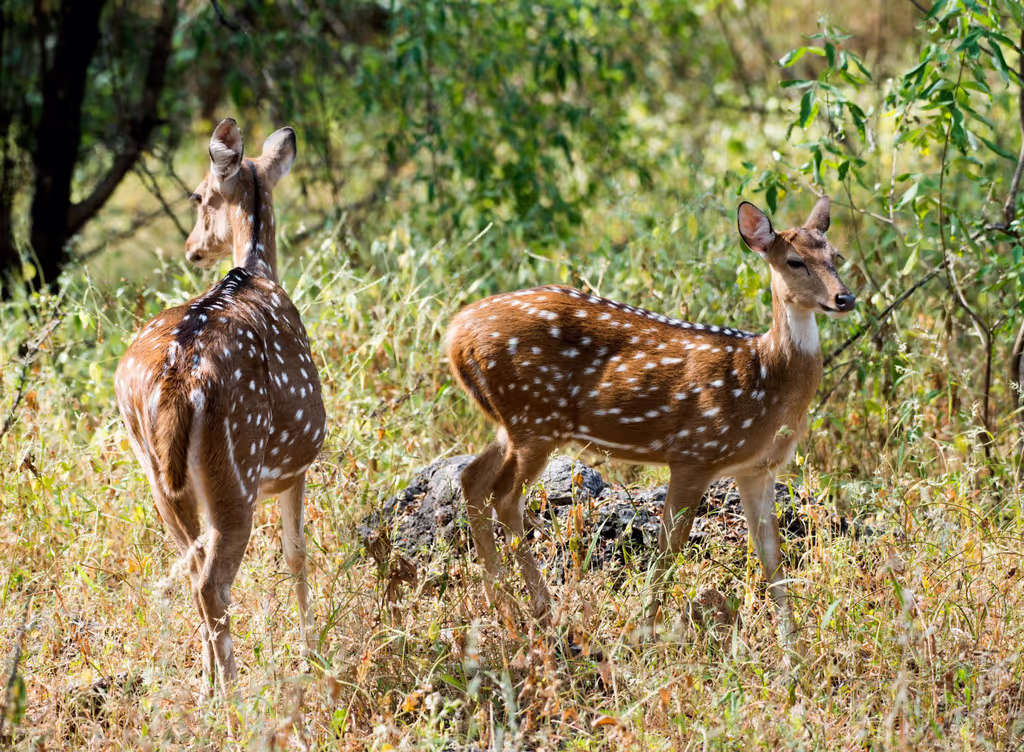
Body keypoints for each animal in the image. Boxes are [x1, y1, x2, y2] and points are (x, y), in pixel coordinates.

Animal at [114, 119, 326, 699]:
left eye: (197, 196)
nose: (191, 248)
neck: (255, 269)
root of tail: (179, 382)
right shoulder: (296, 466)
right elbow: (296, 553)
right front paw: (311, 654)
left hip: (160, 478)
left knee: (193, 573)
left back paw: (208, 688)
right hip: (237, 471)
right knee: (212, 583)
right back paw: (234, 697)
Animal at [445, 197, 854, 645]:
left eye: (836, 256)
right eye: (794, 261)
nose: (845, 298)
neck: (763, 381)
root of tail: (454, 333)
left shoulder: (756, 468)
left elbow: (772, 560)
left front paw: (791, 647)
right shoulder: (695, 453)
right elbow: (668, 549)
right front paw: (641, 632)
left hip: (513, 424)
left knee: (472, 478)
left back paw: (502, 607)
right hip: (535, 417)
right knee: (504, 496)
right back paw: (541, 613)